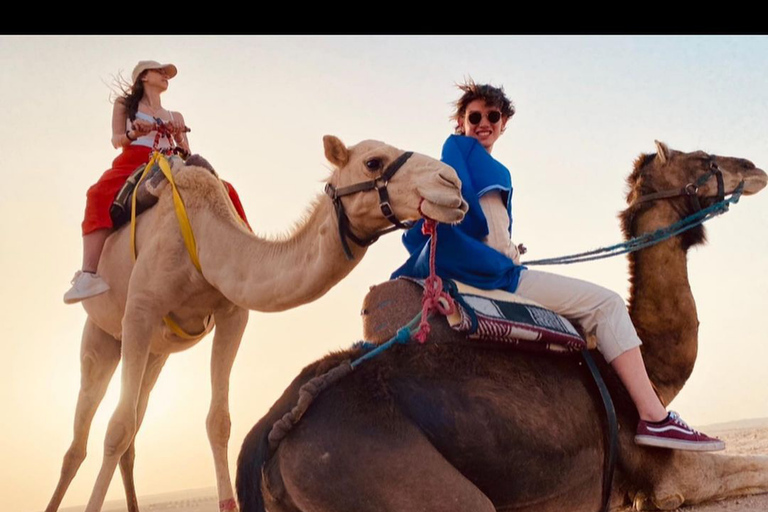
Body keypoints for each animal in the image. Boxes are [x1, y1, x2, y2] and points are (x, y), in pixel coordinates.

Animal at [43, 136, 468, 512]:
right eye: (373, 162)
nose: (451, 182)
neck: (206, 239)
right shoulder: (141, 308)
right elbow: (115, 428)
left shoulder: (232, 314)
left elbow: (218, 422)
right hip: (103, 335)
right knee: (81, 437)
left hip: (157, 353)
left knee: (133, 428)